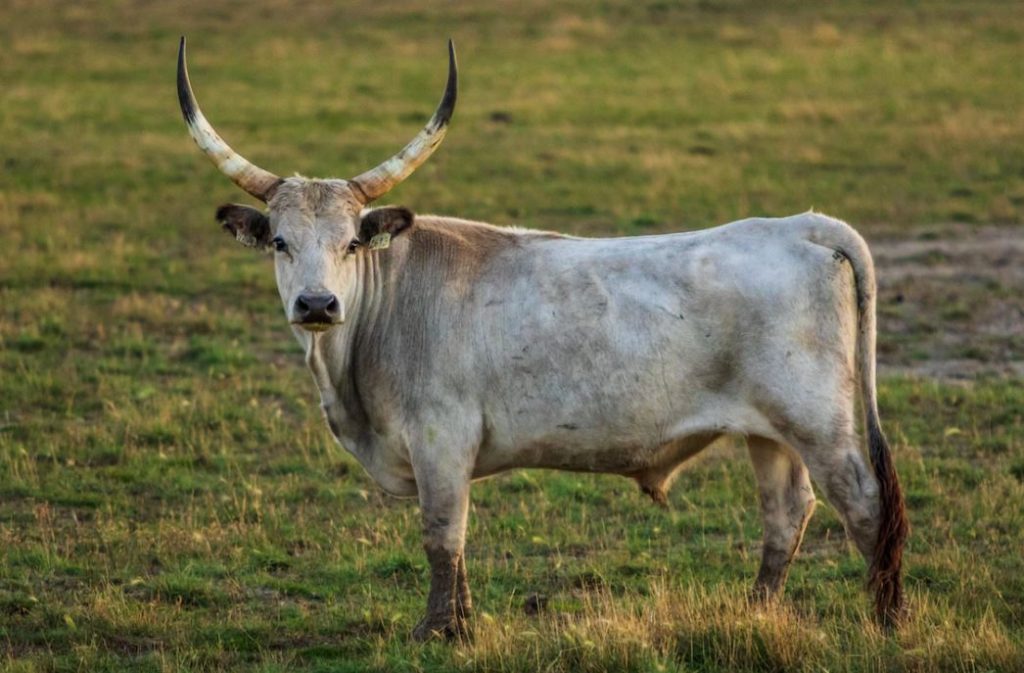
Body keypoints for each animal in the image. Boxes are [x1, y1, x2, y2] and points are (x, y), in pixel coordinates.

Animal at [178, 39, 913, 639]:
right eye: (280, 240)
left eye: (351, 242)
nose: (317, 303)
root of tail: (802, 225)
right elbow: (456, 542)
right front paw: (463, 622)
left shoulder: (441, 439)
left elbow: (441, 535)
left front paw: (438, 631)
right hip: (769, 432)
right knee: (787, 512)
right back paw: (754, 612)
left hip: (818, 423)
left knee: (865, 505)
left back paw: (887, 618)